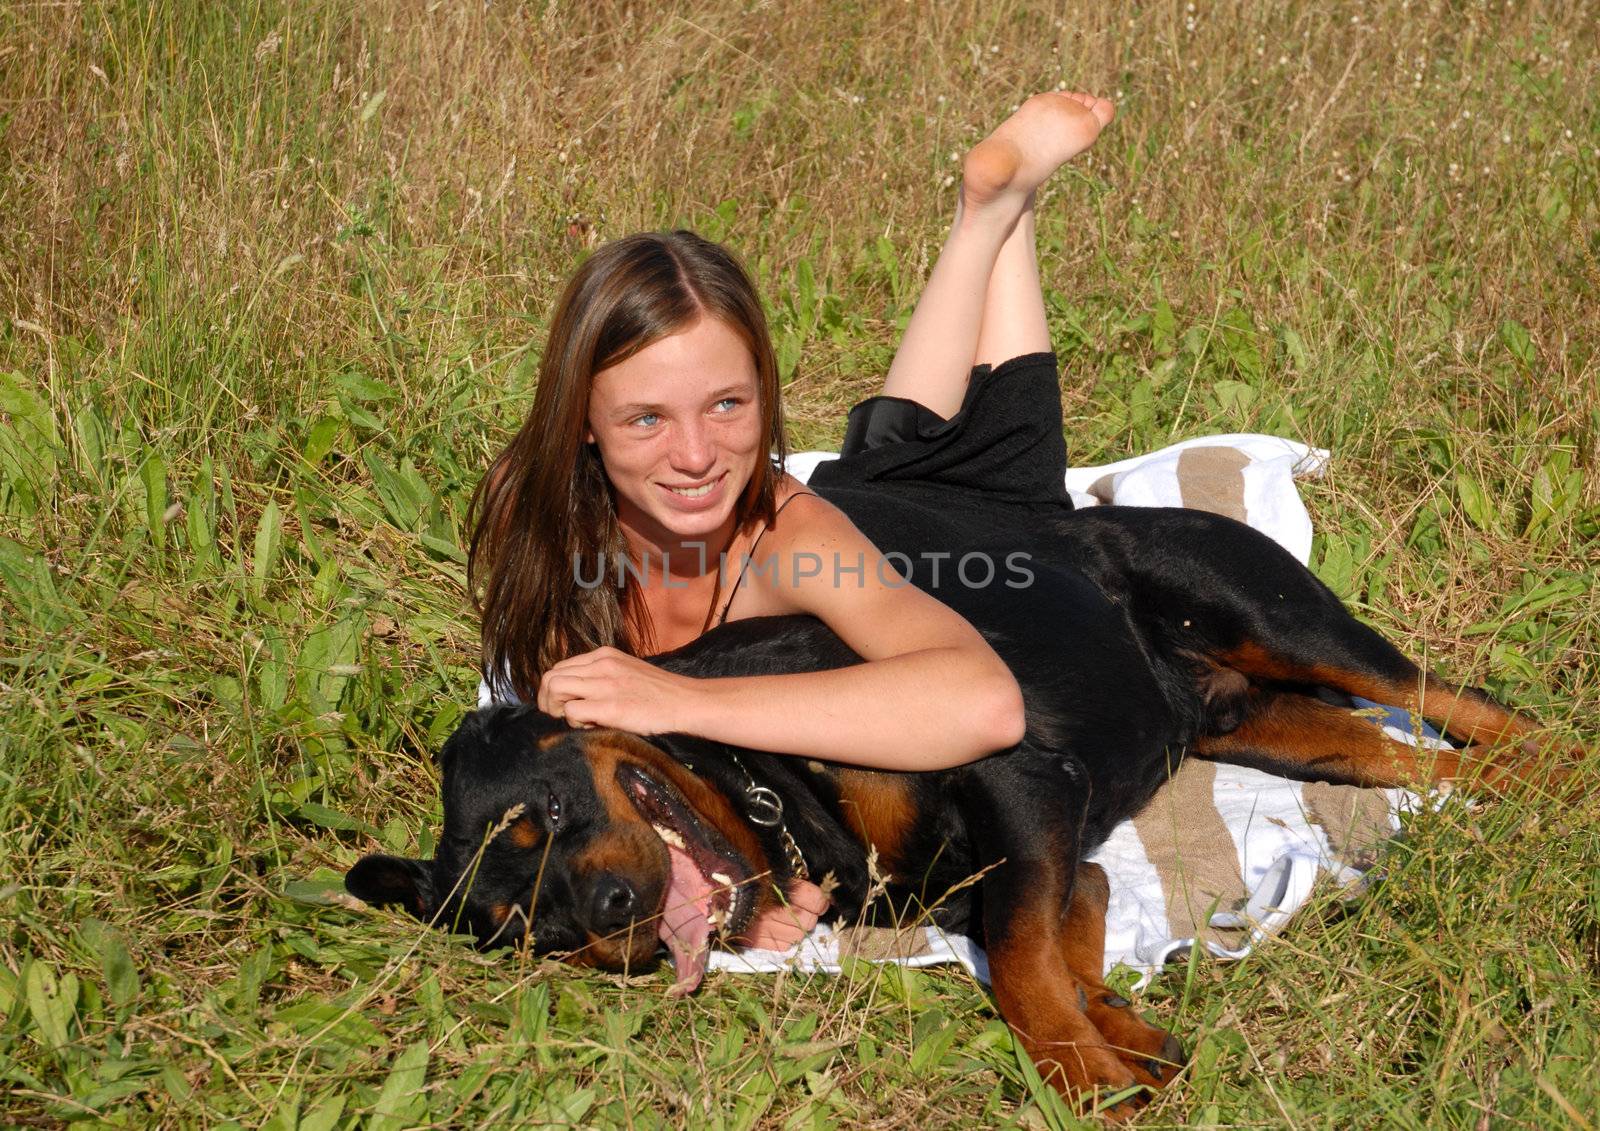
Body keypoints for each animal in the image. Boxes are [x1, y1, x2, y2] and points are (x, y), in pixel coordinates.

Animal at [347, 505, 1548, 1113]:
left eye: (542, 816)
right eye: (527, 929)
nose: (608, 914)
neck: (754, 773)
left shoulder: (1016, 773)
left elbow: (1020, 965)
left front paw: (1085, 1078)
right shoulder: (1040, 859)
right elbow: (1052, 943)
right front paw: (1122, 1040)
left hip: (1275, 616)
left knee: (1463, 703)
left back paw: (1563, 775)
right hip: (1255, 723)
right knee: (1403, 752)